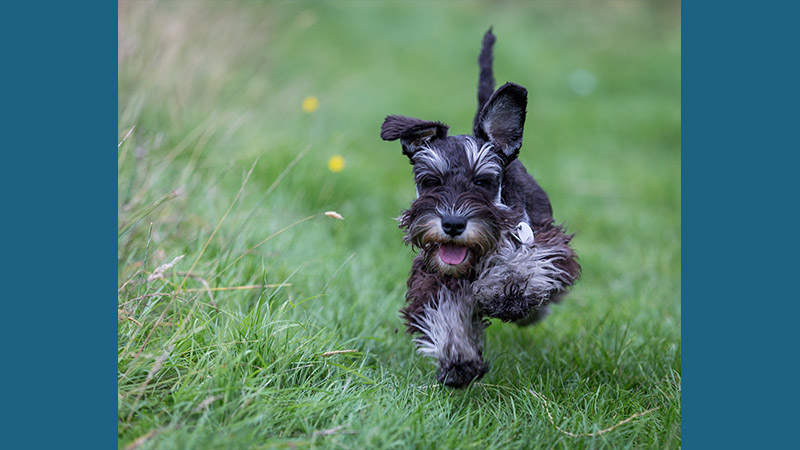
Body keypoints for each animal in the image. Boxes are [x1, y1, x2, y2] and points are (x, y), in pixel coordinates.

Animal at [382, 29, 580, 386]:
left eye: (482, 182)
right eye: (431, 181)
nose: (452, 224)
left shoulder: (541, 238)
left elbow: (521, 261)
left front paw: (507, 289)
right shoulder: (432, 277)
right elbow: (445, 310)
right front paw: (458, 359)